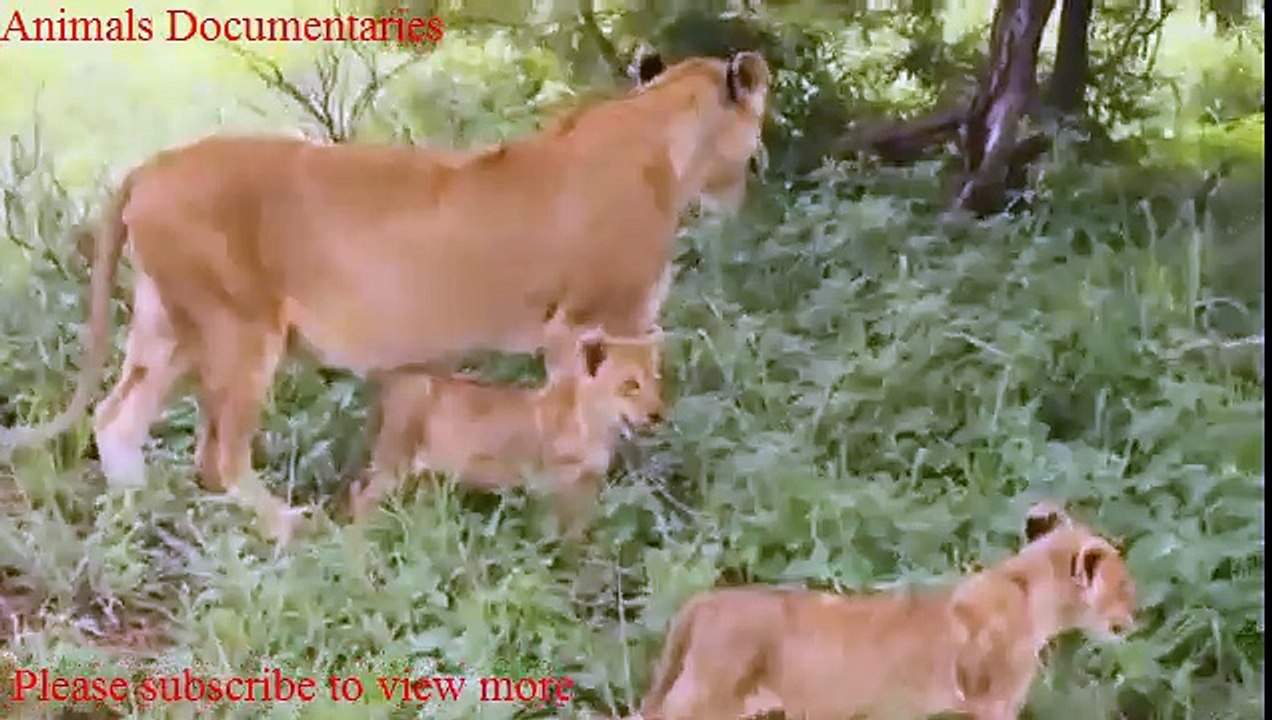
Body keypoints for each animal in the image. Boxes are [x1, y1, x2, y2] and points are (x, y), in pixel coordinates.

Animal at [344, 312, 664, 537]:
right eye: (630, 385)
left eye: (655, 380)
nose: (657, 414)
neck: (596, 426)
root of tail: (393, 382)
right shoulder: (560, 487)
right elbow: (563, 539)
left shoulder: (587, 487)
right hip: (394, 463)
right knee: (360, 498)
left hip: (427, 476)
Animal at [636, 502, 1137, 720]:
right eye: (1125, 586)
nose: (1137, 616)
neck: (1028, 591)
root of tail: (706, 599)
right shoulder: (992, 705)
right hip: (703, 701)